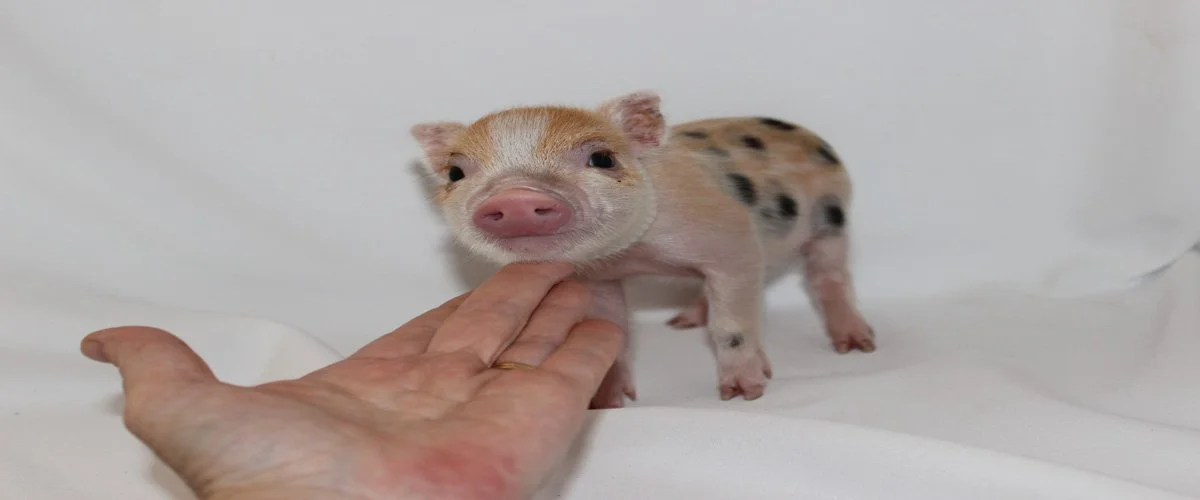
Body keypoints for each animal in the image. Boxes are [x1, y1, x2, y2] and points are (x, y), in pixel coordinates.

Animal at [409, 91, 874, 409]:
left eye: (602, 158)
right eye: (456, 173)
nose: (516, 196)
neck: (637, 255)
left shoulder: (733, 242)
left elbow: (731, 325)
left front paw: (744, 393)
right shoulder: (599, 278)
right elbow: (614, 332)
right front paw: (609, 403)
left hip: (833, 220)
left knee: (830, 277)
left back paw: (855, 344)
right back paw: (680, 322)